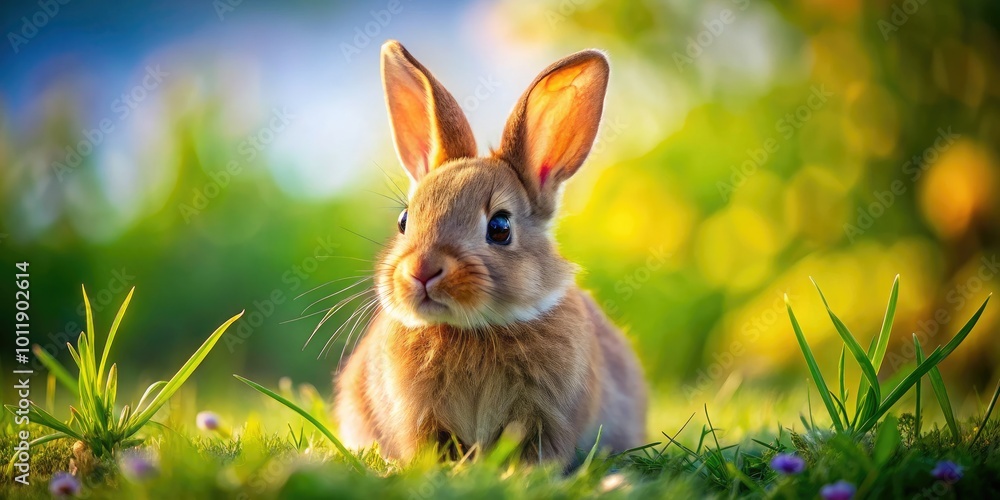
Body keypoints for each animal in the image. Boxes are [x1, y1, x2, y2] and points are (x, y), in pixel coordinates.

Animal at [334, 40, 647, 464]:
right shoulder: (420, 419)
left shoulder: (549, 417)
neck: (473, 329)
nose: (422, 270)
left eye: (500, 228)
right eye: (404, 220)